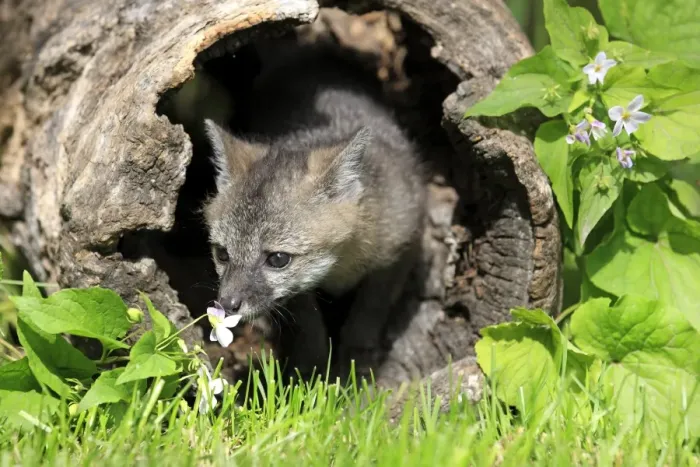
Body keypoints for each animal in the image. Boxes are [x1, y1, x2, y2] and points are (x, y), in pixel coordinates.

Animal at [202, 42, 425, 377]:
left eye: (277, 259)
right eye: (222, 254)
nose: (227, 304)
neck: (342, 265)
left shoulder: (401, 248)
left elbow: (369, 311)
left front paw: (357, 359)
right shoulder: (300, 294)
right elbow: (310, 325)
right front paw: (312, 369)